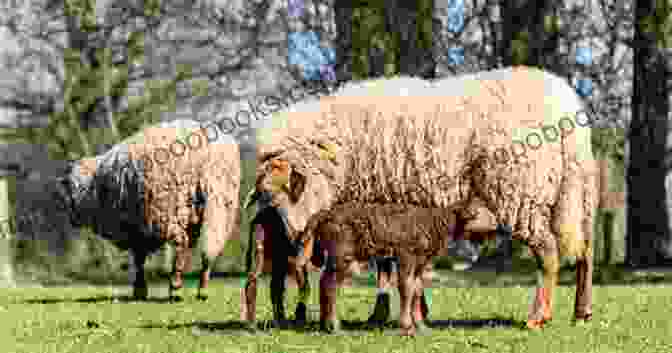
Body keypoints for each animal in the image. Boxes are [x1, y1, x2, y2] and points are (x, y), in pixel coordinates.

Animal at [53, 119, 242, 300]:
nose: (71, 220)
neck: (92, 188)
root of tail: (209, 159)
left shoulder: (136, 229)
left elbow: (138, 259)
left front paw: (139, 290)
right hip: (219, 206)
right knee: (208, 249)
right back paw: (202, 289)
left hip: (166, 210)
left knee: (182, 244)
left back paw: (176, 289)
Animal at [249, 66, 596, 330]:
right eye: (266, 198)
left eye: (286, 191)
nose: (296, 241)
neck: (340, 151)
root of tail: (566, 107)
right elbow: (389, 267)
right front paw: (399, 313)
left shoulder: (383, 204)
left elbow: (388, 267)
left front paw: (393, 314)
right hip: (575, 194)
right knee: (585, 252)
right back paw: (582, 312)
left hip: (521, 192)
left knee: (548, 252)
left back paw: (538, 317)